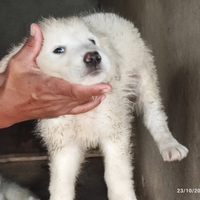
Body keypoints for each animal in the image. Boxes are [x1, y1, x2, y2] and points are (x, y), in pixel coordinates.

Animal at [0, 13, 188, 199]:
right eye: (58, 50)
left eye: (92, 41)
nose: (94, 57)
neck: (82, 114)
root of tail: (109, 14)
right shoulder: (64, 144)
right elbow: (61, 183)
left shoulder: (114, 133)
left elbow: (117, 175)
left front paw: (123, 195)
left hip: (144, 75)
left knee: (154, 115)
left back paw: (170, 145)